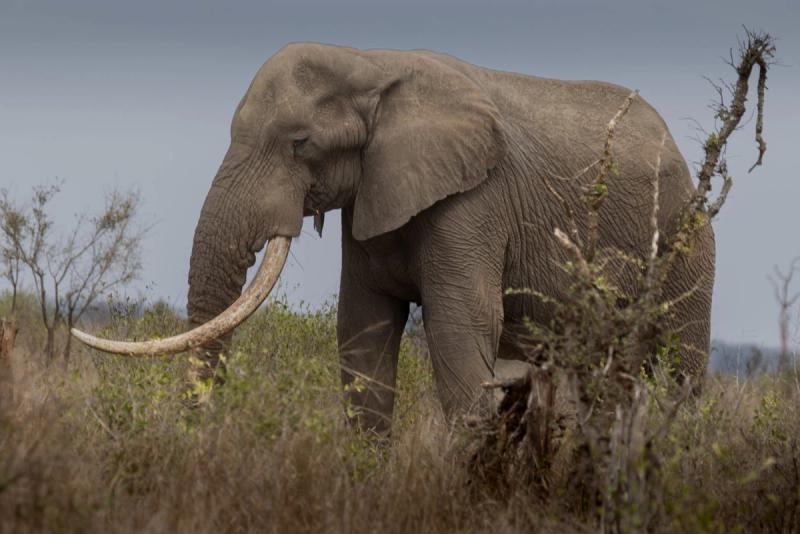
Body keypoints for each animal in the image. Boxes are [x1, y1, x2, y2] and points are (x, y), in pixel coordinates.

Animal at [73, 42, 715, 435]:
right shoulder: (372, 193)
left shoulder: (474, 202)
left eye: (300, 143)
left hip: (687, 243)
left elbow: (459, 332)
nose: (198, 426)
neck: (371, 66)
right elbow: (362, 332)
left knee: (678, 368)